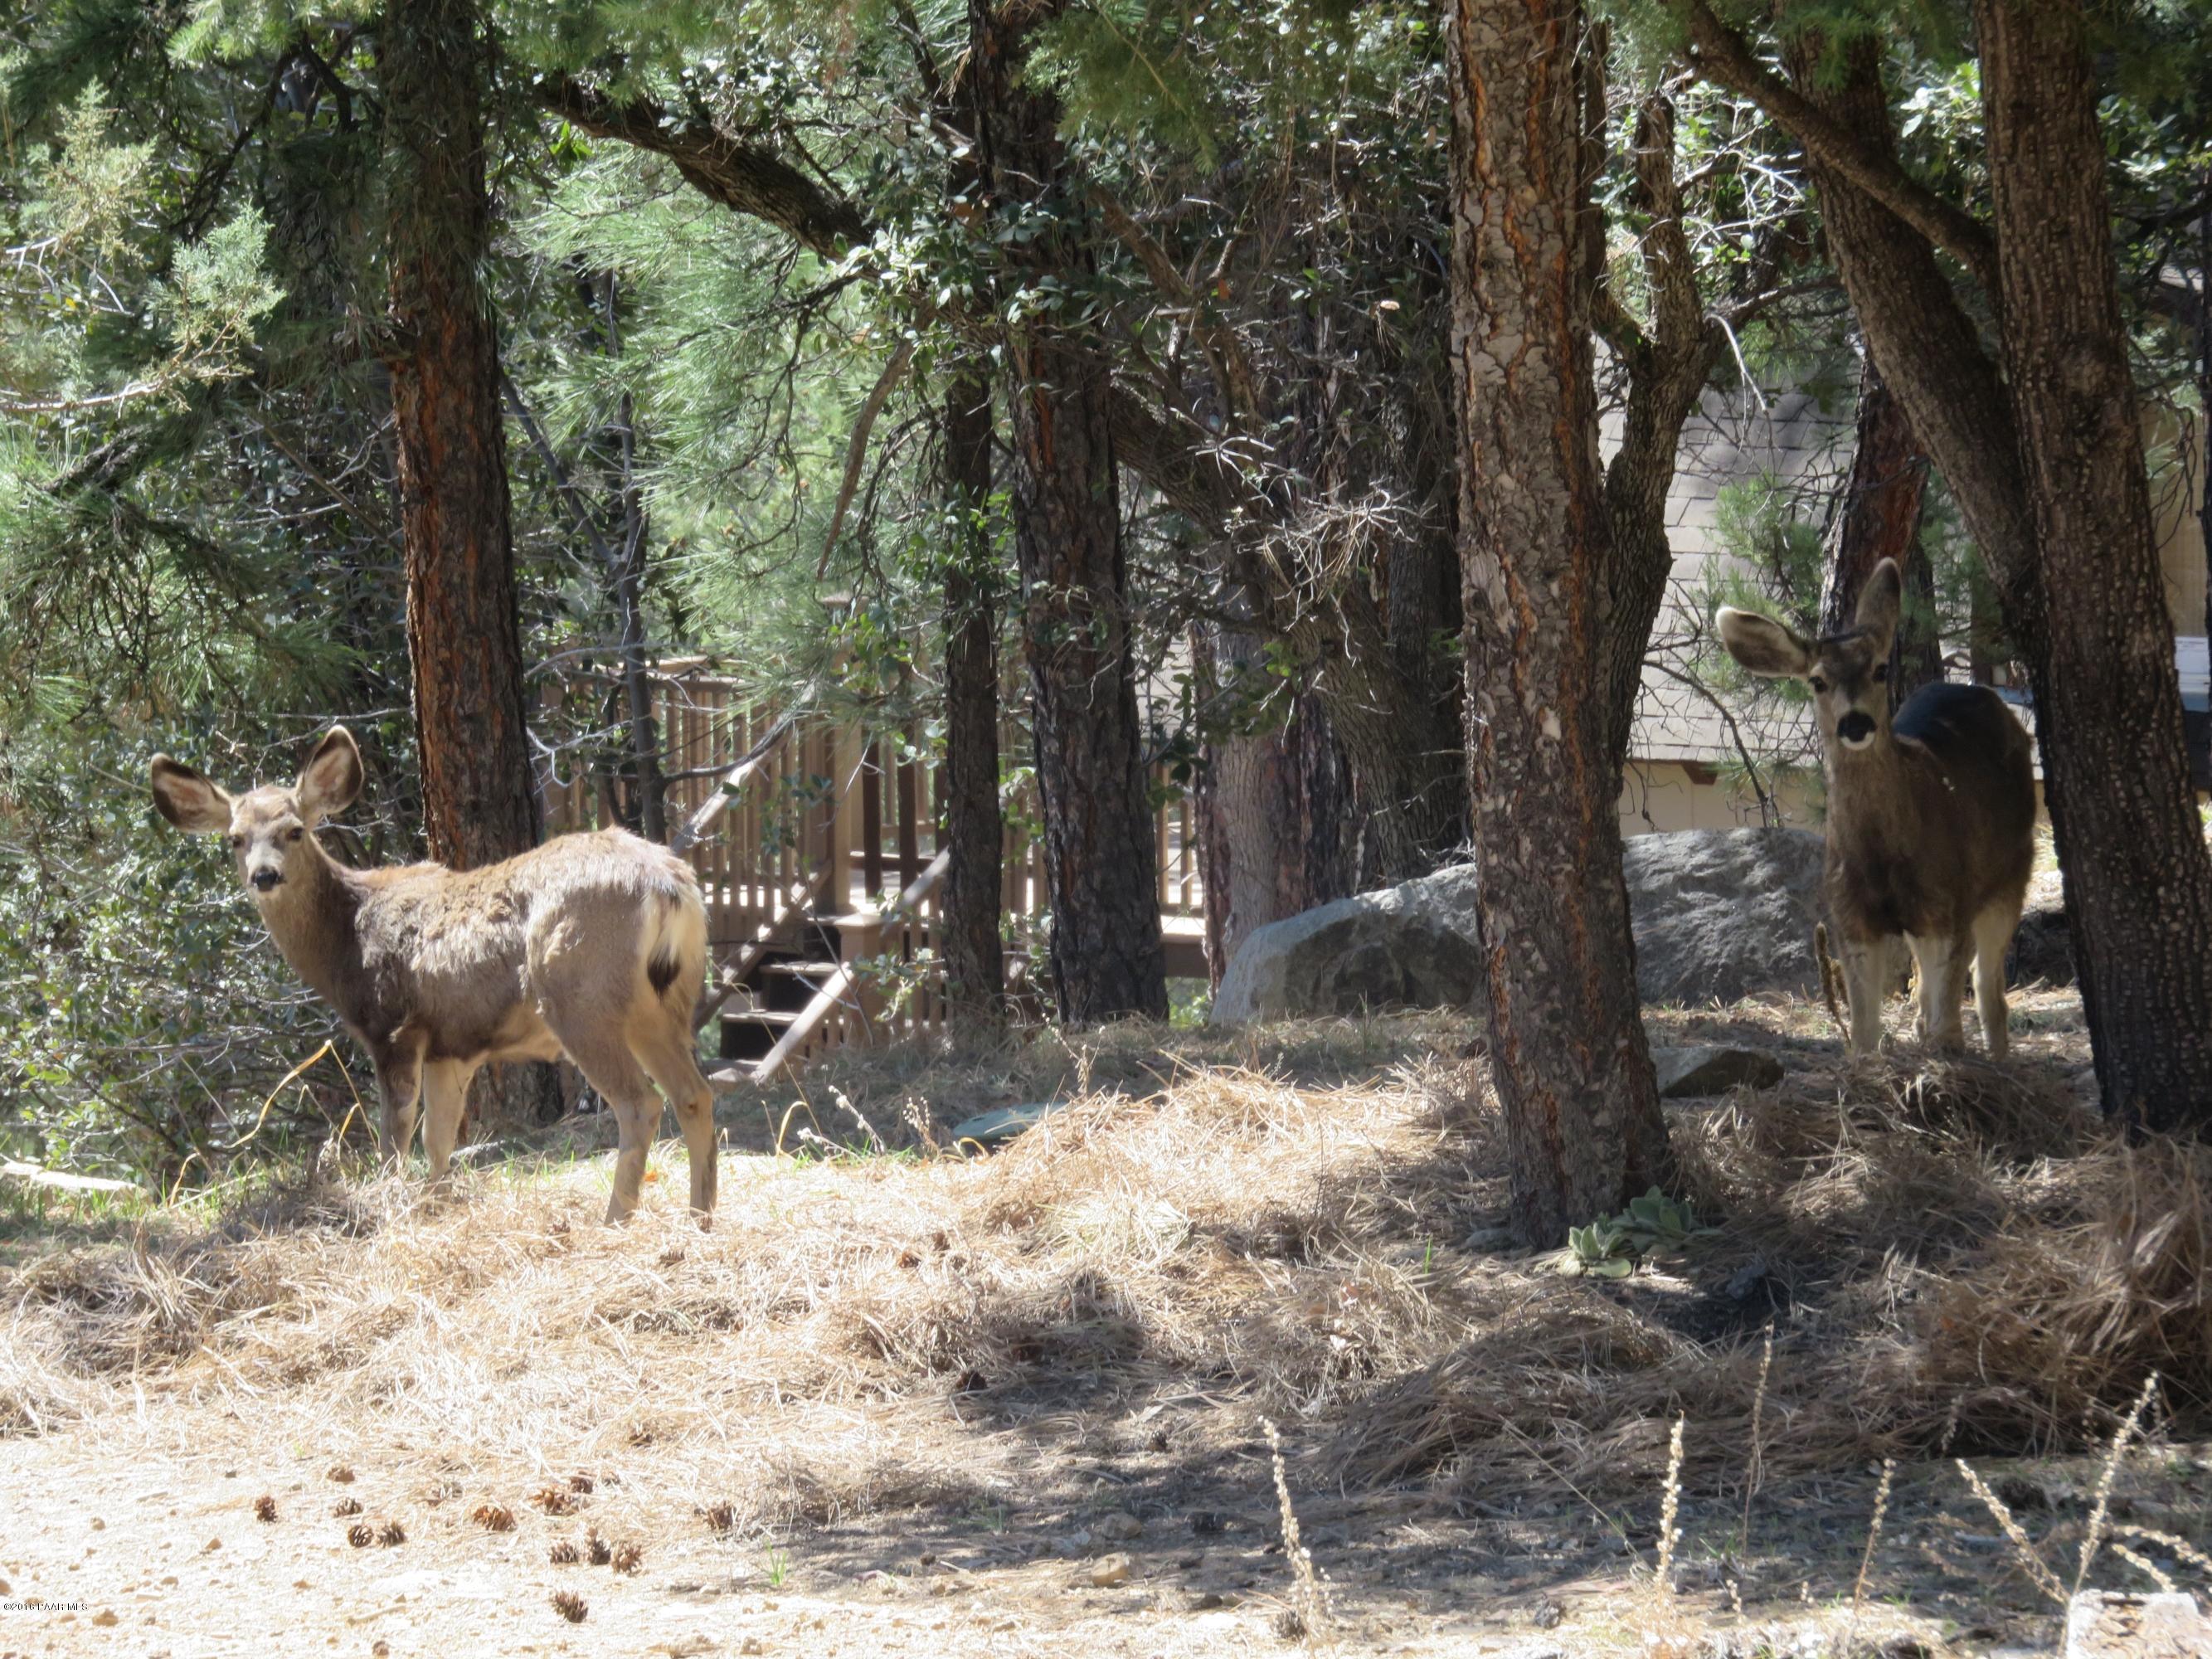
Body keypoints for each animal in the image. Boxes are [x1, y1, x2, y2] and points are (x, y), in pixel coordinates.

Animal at [148, 726, 720, 1225]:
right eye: (235, 839)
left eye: (294, 830)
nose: (264, 875)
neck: (348, 938)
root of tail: (670, 885)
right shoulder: (453, 1046)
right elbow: (439, 1142)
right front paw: (435, 1208)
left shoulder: (394, 1028)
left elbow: (394, 1139)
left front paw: (390, 1209)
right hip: (664, 1001)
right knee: (694, 1093)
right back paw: (700, 1219)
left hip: (579, 995)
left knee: (639, 1103)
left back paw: (615, 1221)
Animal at [1717, 559, 2037, 1060]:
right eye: (1818, 680)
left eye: (1882, 669)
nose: (1856, 723)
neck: (1883, 853)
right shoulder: (1850, 917)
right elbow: (1865, 1032)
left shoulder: (1946, 898)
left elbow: (1949, 1027)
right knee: (1928, 989)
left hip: (2010, 870)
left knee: (1987, 984)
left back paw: (1999, 1056)